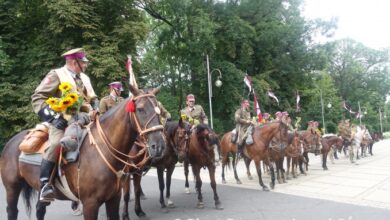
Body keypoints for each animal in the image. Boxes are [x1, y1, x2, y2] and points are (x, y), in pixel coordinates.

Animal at [0, 85, 165, 220]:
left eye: (159, 110)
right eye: (141, 109)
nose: (159, 146)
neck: (103, 151)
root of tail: (11, 142)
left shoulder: (113, 199)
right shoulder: (90, 204)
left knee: (40, 210)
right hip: (12, 188)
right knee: (12, 211)